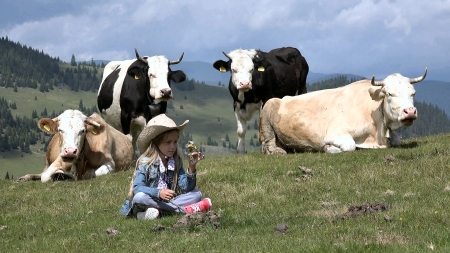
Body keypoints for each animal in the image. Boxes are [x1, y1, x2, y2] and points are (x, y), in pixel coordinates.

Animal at [258, 67, 428, 154]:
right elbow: (350, 146)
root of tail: (282, 98)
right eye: (390, 93)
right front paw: (328, 148)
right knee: (268, 144)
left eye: (413, 93)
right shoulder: (336, 133)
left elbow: (398, 141)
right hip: (267, 112)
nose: (410, 111)